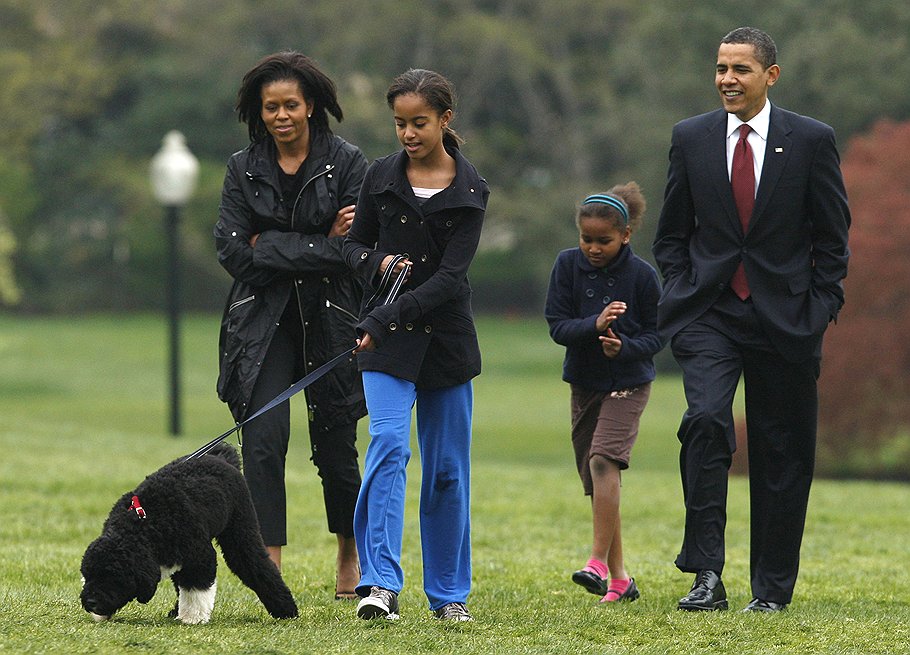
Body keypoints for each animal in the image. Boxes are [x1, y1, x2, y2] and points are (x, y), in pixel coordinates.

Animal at [79, 444, 298, 624]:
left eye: (113, 576)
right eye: (88, 575)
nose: (90, 601)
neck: (144, 523)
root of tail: (221, 457)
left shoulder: (200, 556)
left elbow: (196, 589)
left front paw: (192, 617)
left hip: (240, 532)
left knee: (257, 565)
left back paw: (286, 610)